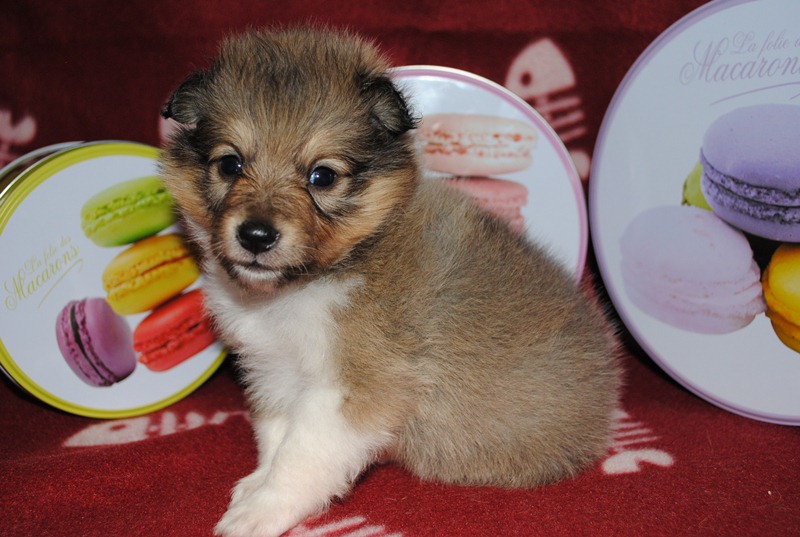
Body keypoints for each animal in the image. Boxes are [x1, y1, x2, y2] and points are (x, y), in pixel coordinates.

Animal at [158, 28, 620, 536]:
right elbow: (276, 436)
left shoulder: (356, 386)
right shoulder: (273, 372)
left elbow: (300, 454)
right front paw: (255, 485)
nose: (256, 235)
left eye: (322, 176)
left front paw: (259, 510)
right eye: (230, 164)